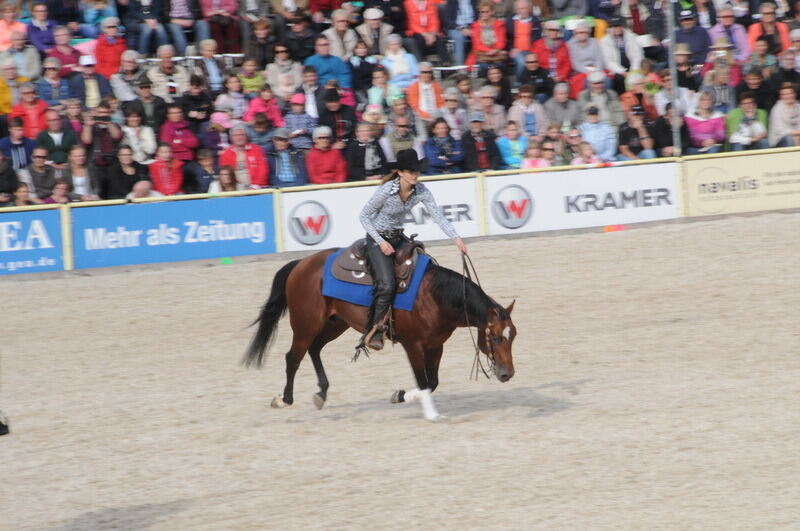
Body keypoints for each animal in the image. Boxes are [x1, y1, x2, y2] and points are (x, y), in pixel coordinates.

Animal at [244, 248, 520, 420]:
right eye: (496, 337)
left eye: (513, 336)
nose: (507, 374)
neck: (434, 296)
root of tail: (300, 264)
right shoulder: (413, 345)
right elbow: (424, 382)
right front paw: (425, 411)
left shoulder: (436, 346)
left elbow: (432, 382)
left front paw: (402, 396)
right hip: (305, 324)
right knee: (293, 357)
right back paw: (284, 399)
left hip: (335, 323)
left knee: (314, 350)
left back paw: (321, 393)